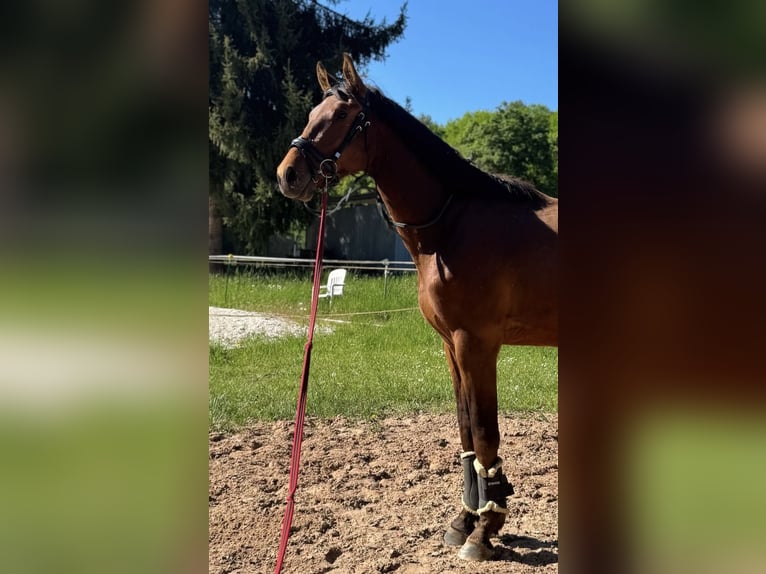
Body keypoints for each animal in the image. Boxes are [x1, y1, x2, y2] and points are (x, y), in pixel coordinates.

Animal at [277, 53, 558, 561]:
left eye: (342, 116)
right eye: (311, 113)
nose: (288, 175)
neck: (451, 226)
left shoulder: (477, 345)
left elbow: (485, 433)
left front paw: (485, 531)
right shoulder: (452, 348)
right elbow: (466, 432)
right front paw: (465, 520)